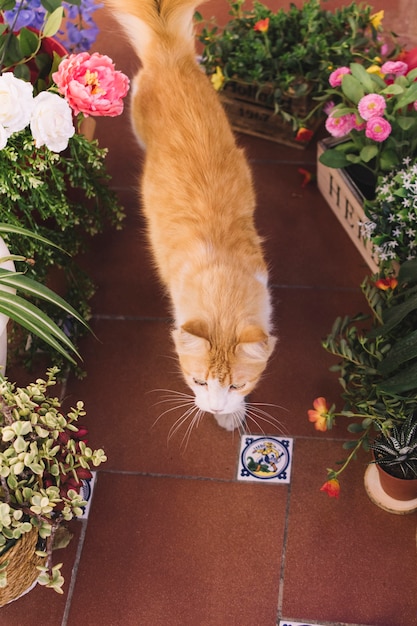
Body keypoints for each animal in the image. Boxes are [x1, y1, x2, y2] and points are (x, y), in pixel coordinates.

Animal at [105, 0, 274, 428]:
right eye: (197, 381)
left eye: (238, 385)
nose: (214, 406)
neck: (223, 290)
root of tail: (169, 51)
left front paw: (231, 413)